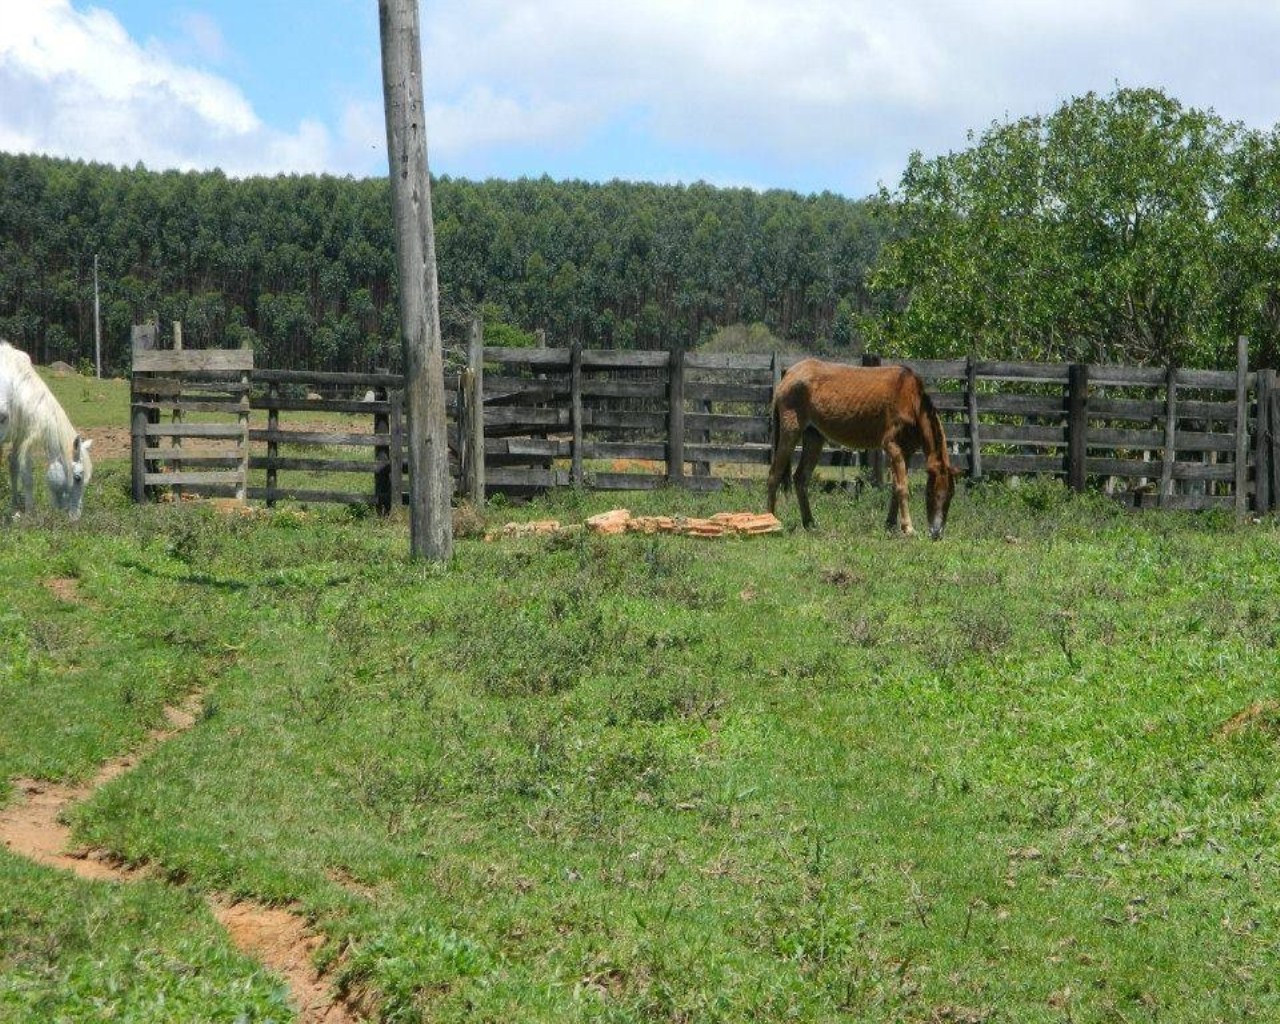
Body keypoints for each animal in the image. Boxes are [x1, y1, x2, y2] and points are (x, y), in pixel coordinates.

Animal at [0, 343, 93, 519]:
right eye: (77, 478)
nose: (76, 517)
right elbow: (26, 474)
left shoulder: (20, 436)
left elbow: (16, 468)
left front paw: (16, 512)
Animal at [762, 355, 957, 540]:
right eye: (930, 494)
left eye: (950, 496)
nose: (937, 533)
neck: (911, 400)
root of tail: (789, 374)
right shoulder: (892, 447)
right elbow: (902, 487)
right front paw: (908, 528)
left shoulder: (906, 452)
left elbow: (896, 487)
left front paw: (891, 525)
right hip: (791, 432)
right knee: (774, 475)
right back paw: (770, 521)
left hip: (814, 437)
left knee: (801, 478)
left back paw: (810, 524)